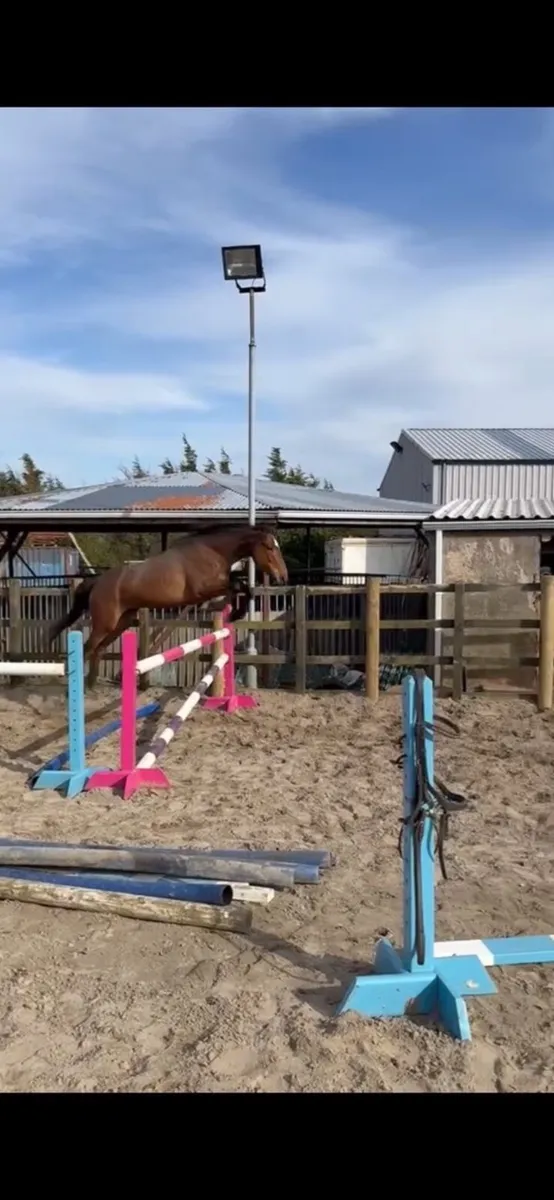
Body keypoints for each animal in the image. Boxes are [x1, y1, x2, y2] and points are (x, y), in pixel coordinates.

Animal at [49, 524, 288, 689]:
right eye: (269, 547)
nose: (283, 577)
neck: (212, 551)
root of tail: (98, 581)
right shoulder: (202, 589)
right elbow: (239, 585)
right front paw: (235, 611)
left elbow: (240, 586)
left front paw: (229, 610)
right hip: (105, 624)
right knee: (87, 648)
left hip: (121, 623)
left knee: (98, 649)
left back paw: (89, 687)